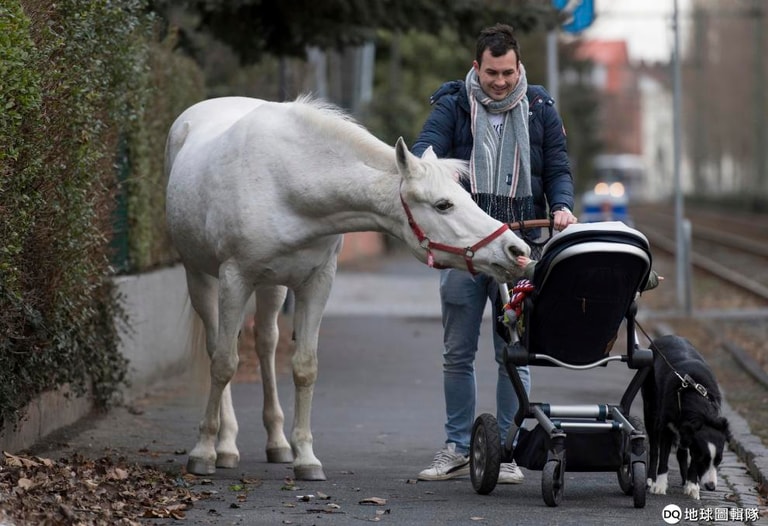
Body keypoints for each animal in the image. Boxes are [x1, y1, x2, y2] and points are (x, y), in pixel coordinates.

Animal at [165, 95, 530, 480]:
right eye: (443, 204)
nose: (516, 250)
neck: (286, 183)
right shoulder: (235, 278)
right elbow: (223, 364)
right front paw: (203, 451)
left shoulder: (317, 283)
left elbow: (304, 367)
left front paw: (306, 458)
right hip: (202, 277)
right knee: (216, 347)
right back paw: (225, 445)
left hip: (270, 287)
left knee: (265, 344)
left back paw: (276, 442)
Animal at [641, 335, 731, 500]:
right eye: (703, 459)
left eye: (719, 460)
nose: (711, 487)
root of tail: (664, 337)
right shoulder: (667, 426)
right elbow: (663, 456)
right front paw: (659, 487)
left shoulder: (691, 435)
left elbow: (691, 459)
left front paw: (692, 486)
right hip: (650, 406)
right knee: (655, 447)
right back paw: (650, 480)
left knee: (681, 452)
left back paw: (685, 481)